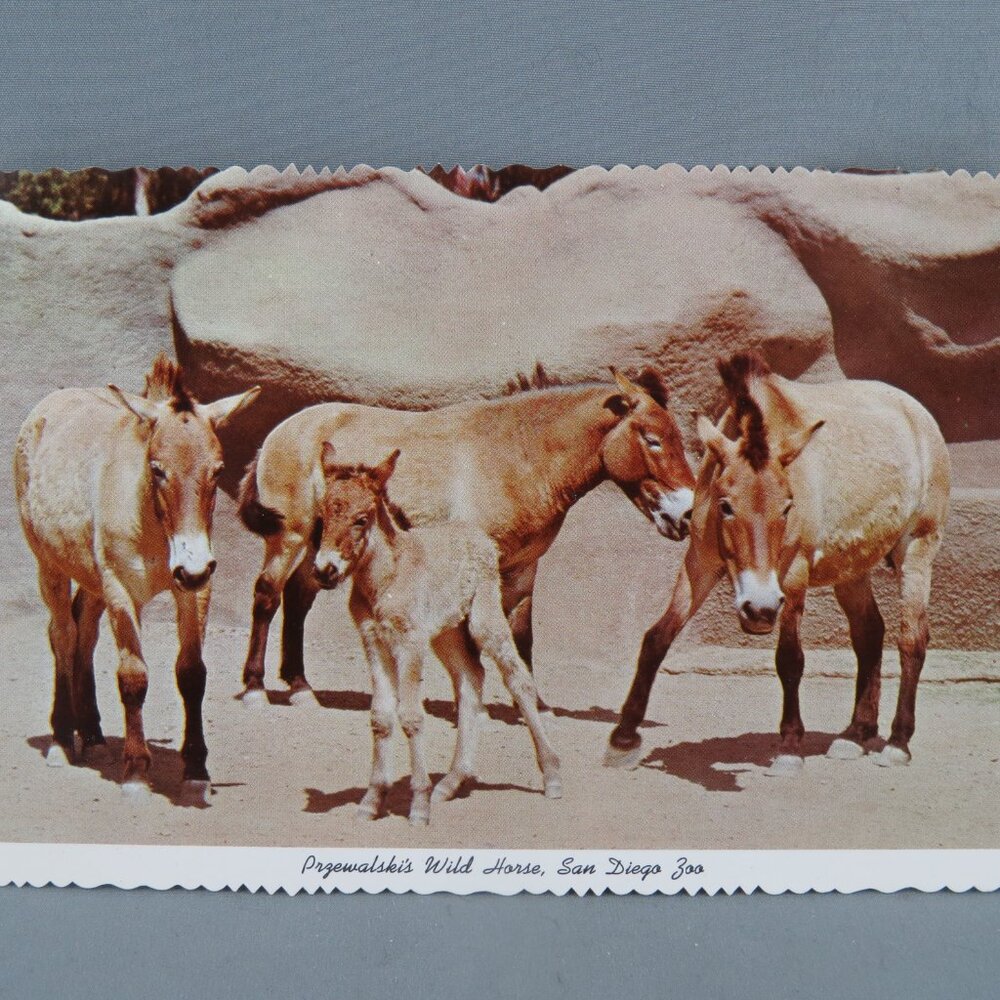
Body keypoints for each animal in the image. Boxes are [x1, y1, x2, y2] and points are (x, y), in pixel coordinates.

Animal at [14, 354, 259, 801]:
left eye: (218, 470)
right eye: (158, 469)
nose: (193, 566)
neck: (153, 526)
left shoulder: (193, 591)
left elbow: (192, 674)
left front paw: (196, 770)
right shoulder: (121, 590)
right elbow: (133, 677)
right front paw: (136, 771)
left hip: (92, 581)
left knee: (83, 632)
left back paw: (92, 735)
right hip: (51, 568)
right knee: (63, 635)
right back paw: (61, 740)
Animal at [236, 367, 696, 703]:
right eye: (653, 440)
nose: (688, 512)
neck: (516, 454)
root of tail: (281, 430)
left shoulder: (524, 567)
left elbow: (521, 634)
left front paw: (531, 703)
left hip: (322, 545)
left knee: (297, 598)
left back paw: (300, 686)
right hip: (291, 538)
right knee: (267, 594)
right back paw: (256, 687)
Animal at [314, 444, 561, 824]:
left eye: (362, 518)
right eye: (323, 514)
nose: (325, 571)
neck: (386, 578)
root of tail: (476, 533)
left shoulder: (410, 642)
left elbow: (411, 716)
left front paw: (418, 804)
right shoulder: (374, 641)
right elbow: (380, 717)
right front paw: (372, 800)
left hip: (484, 619)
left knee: (517, 679)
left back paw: (551, 774)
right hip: (448, 632)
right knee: (471, 678)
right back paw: (452, 780)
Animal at [606, 351, 950, 773]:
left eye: (787, 506)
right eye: (725, 506)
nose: (759, 609)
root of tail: (916, 411)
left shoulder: (794, 576)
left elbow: (789, 658)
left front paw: (789, 746)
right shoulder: (699, 563)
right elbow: (657, 638)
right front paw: (623, 736)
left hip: (916, 551)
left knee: (911, 639)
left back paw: (898, 742)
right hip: (851, 569)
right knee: (869, 634)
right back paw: (855, 734)